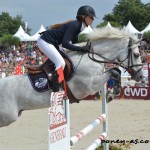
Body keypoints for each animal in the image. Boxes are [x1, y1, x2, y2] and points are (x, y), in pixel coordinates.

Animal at [0, 26, 143, 127]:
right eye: (136, 55)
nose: (140, 76)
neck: (91, 57)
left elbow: (116, 71)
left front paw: (112, 93)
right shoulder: (89, 85)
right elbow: (114, 71)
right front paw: (112, 94)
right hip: (8, 116)